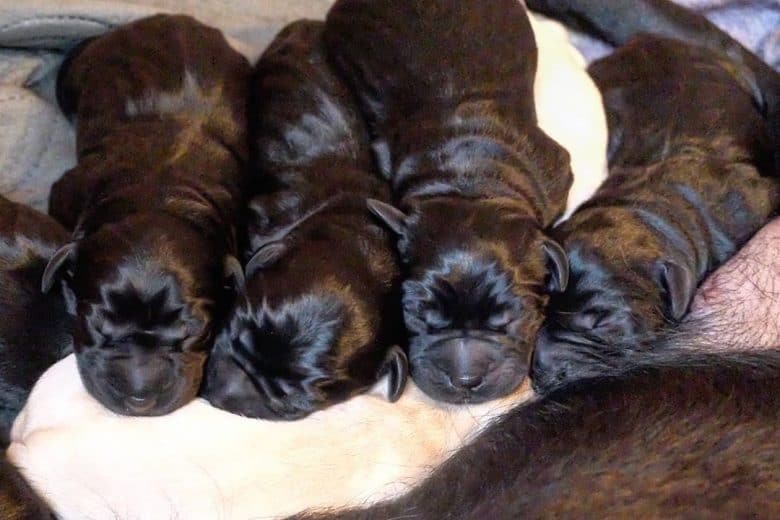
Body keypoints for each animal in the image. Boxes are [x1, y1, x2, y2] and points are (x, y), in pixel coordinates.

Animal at [42, 14, 250, 416]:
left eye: (194, 330)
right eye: (97, 326)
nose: (140, 400)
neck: (160, 194)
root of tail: (171, 18)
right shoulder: (65, 191)